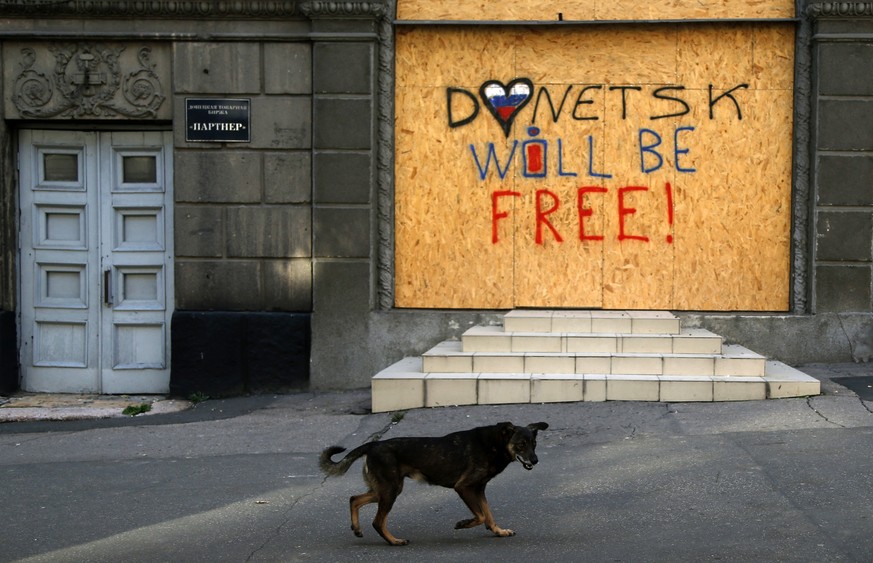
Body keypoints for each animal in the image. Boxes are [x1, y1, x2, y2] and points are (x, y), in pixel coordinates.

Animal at [320, 424, 544, 548]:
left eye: (534, 444)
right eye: (521, 444)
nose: (535, 460)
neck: (494, 443)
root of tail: (373, 444)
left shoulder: (479, 489)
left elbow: (488, 515)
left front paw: (498, 531)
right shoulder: (464, 487)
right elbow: (480, 516)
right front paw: (463, 524)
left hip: (384, 490)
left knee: (354, 499)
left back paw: (357, 528)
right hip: (390, 491)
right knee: (377, 521)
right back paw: (394, 541)